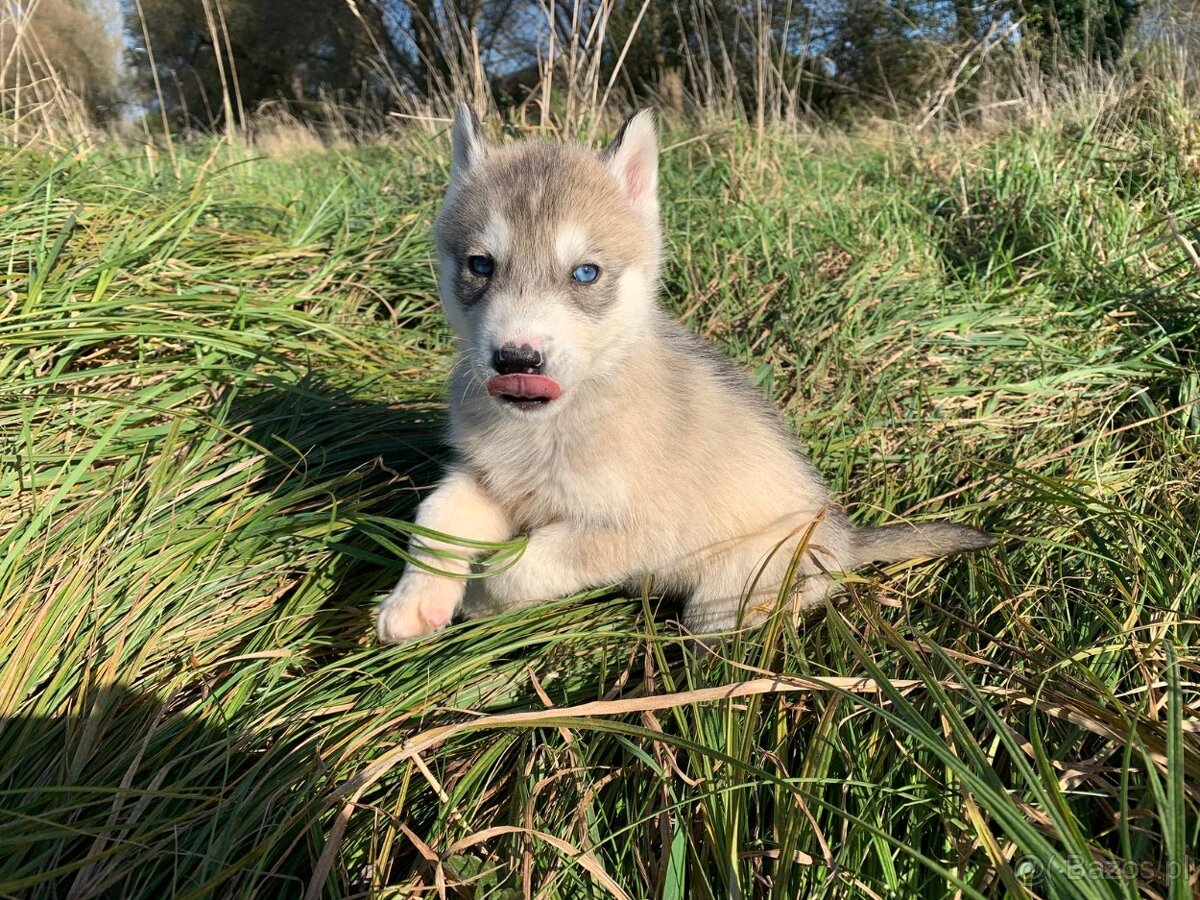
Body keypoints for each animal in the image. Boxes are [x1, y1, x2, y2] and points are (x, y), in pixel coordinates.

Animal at [376, 103, 993, 643]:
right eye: (481, 265)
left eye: (585, 273)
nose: (516, 361)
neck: (552, 424)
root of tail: (842, 536)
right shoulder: (490, 479)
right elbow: (435, 517)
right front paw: (415, 604)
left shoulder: (635, 531)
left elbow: (518, 568)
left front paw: (479, 598)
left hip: (726, 595)